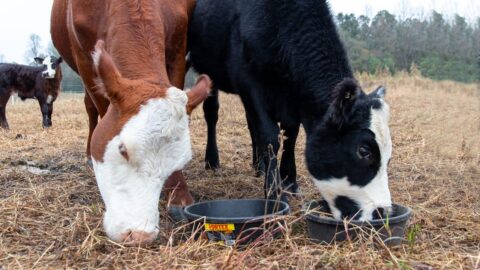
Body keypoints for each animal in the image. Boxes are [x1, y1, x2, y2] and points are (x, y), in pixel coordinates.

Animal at [50, 0, 212, 245]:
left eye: (179, 162)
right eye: (123, 149)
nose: (140, 234)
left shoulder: (178, 49)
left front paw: (179, 195)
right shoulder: (85, 59)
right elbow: (101, 109)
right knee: (89, 108)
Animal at [189, 0, 396, 221]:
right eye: (363, 151)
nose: (382, 211)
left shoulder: (293, 97)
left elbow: (291, 135)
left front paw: (289, 181)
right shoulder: (248, 80)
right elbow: (270, 136)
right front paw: (274, 193)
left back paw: (258, 166)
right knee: (212, 112)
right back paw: (212, 161)